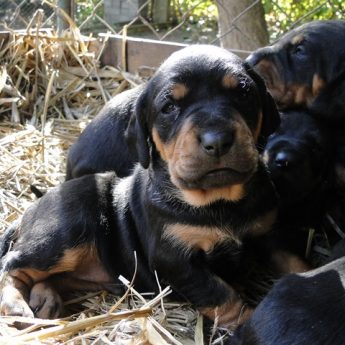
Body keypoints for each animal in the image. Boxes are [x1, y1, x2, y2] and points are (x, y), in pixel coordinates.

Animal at [0, 45, 294, 328]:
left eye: (243, 93)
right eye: (169, 107)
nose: (217, 140)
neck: (220, 200)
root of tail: (27, 214)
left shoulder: (272, 233)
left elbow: (293, 263)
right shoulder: (176, 259)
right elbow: (221, 296)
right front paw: (249, 322)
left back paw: (45, 299)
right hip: (64, 234)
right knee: (11, 264)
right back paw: (16, 305)